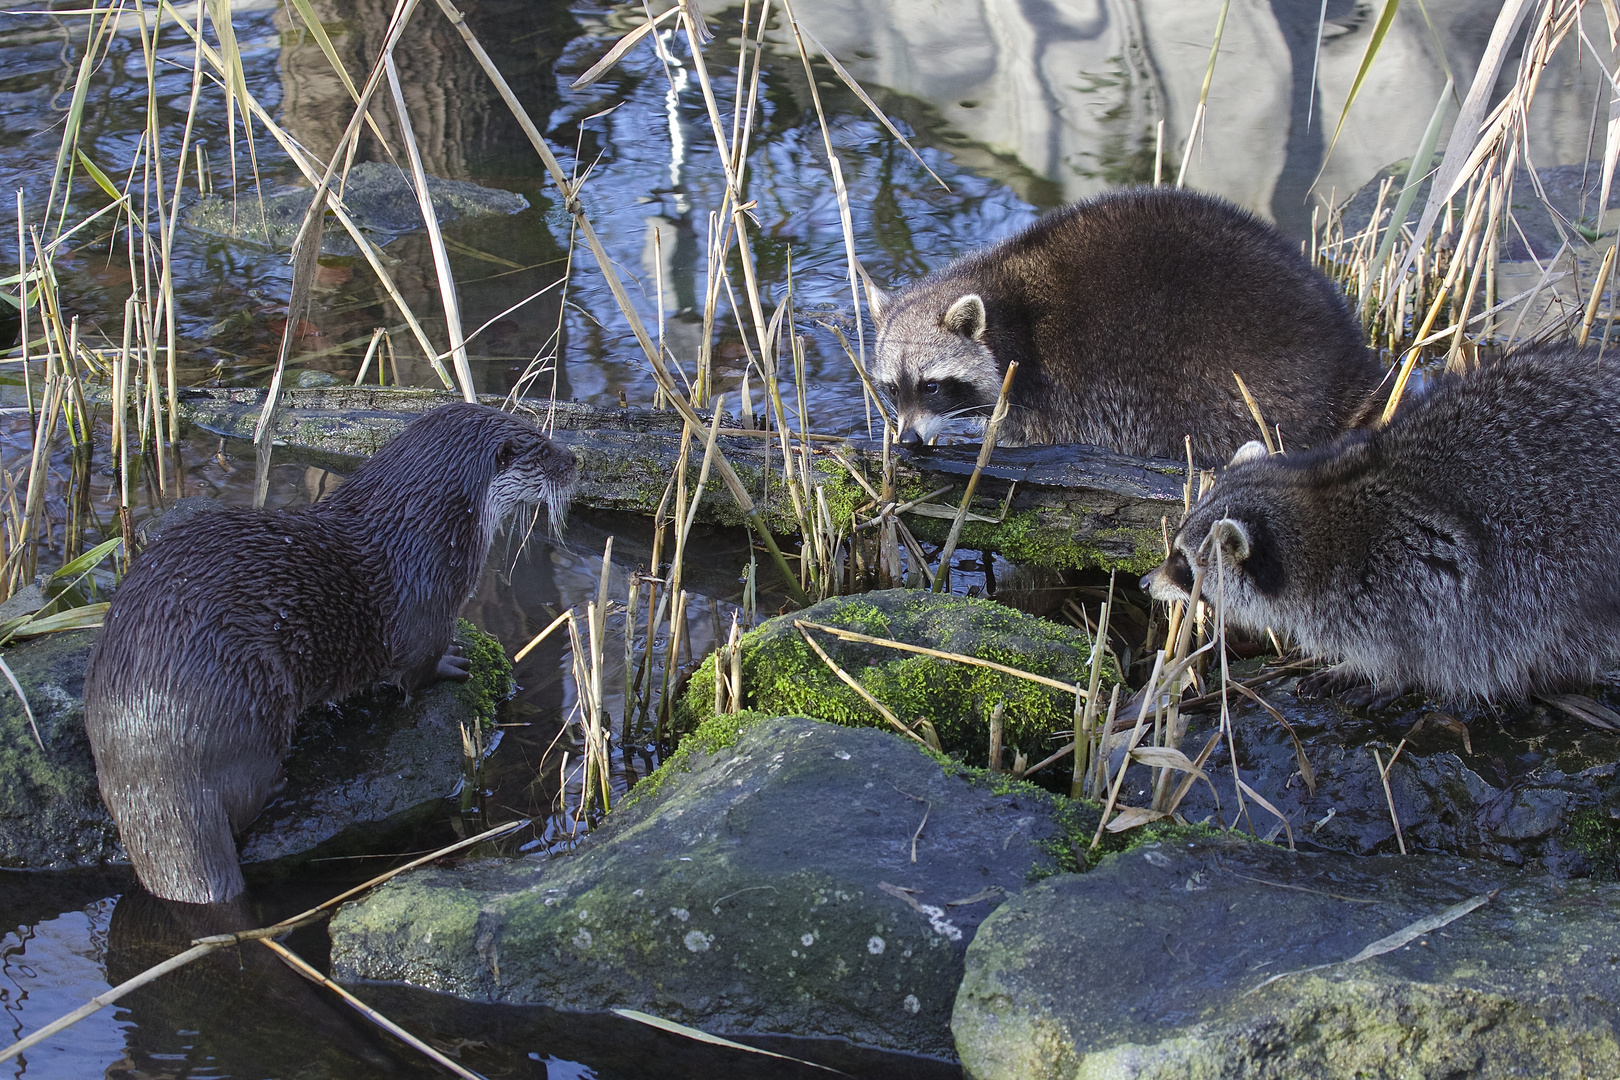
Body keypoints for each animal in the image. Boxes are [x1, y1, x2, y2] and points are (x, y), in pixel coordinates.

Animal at [83, 403, 576, 906]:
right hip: (251, 703)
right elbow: (416, 669)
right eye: (543, 449)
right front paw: (453, 662)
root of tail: (156, 758)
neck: (422, 533)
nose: (574, 459)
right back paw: (280, 782)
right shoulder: (427, 607)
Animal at [868, 183, 1386, 463]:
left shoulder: (1060, 389)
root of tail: (1348, 359)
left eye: (933, 386)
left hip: (1233, 381)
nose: (907, 440)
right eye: (893, 388)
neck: (1010, 310)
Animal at [1140, 341, 1620, 709]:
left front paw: (1391, 675)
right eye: (1175, 550)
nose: (1145, 582)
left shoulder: (1421, 579)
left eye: (1183, 563)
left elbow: (1443, 644)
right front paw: (1353, 665)